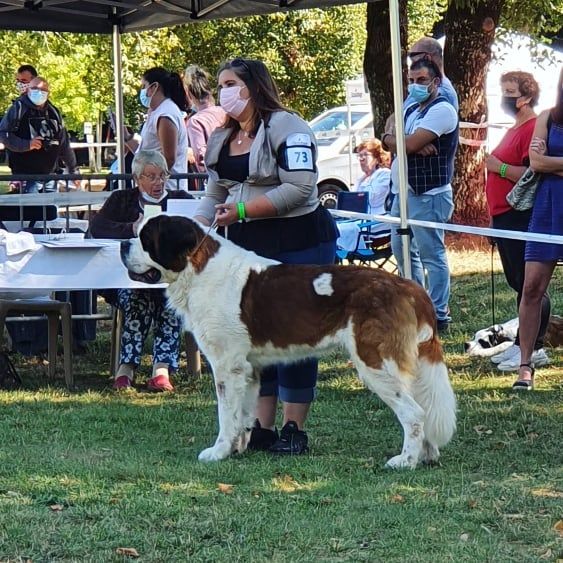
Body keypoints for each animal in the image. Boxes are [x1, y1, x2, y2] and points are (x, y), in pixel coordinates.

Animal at [121, 214, 456, 470]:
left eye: (146, 238)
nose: (123, 244)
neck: (198, 269)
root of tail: (409, 287)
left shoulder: (227, 367)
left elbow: (226, 414)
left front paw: (218, 452)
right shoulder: (249, 369)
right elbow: (244, 413)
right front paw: (239, 447)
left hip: (375, 363)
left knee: (414, 413)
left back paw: (406, 461)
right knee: (423, 407)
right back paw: (427, 455)